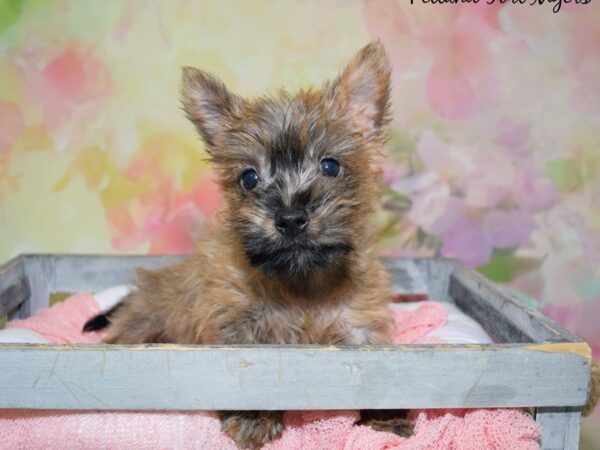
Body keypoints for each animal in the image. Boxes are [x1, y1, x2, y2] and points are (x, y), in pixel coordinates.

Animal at [91, 40, 406, 448]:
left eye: (330, 166)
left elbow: (375, 365)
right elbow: (249, 373)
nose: (290, 218)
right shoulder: (237, 326)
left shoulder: (358, 325)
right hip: (144, 321)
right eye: (249, 178)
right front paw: (254, 416)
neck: (302, 287)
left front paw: (387, 416)